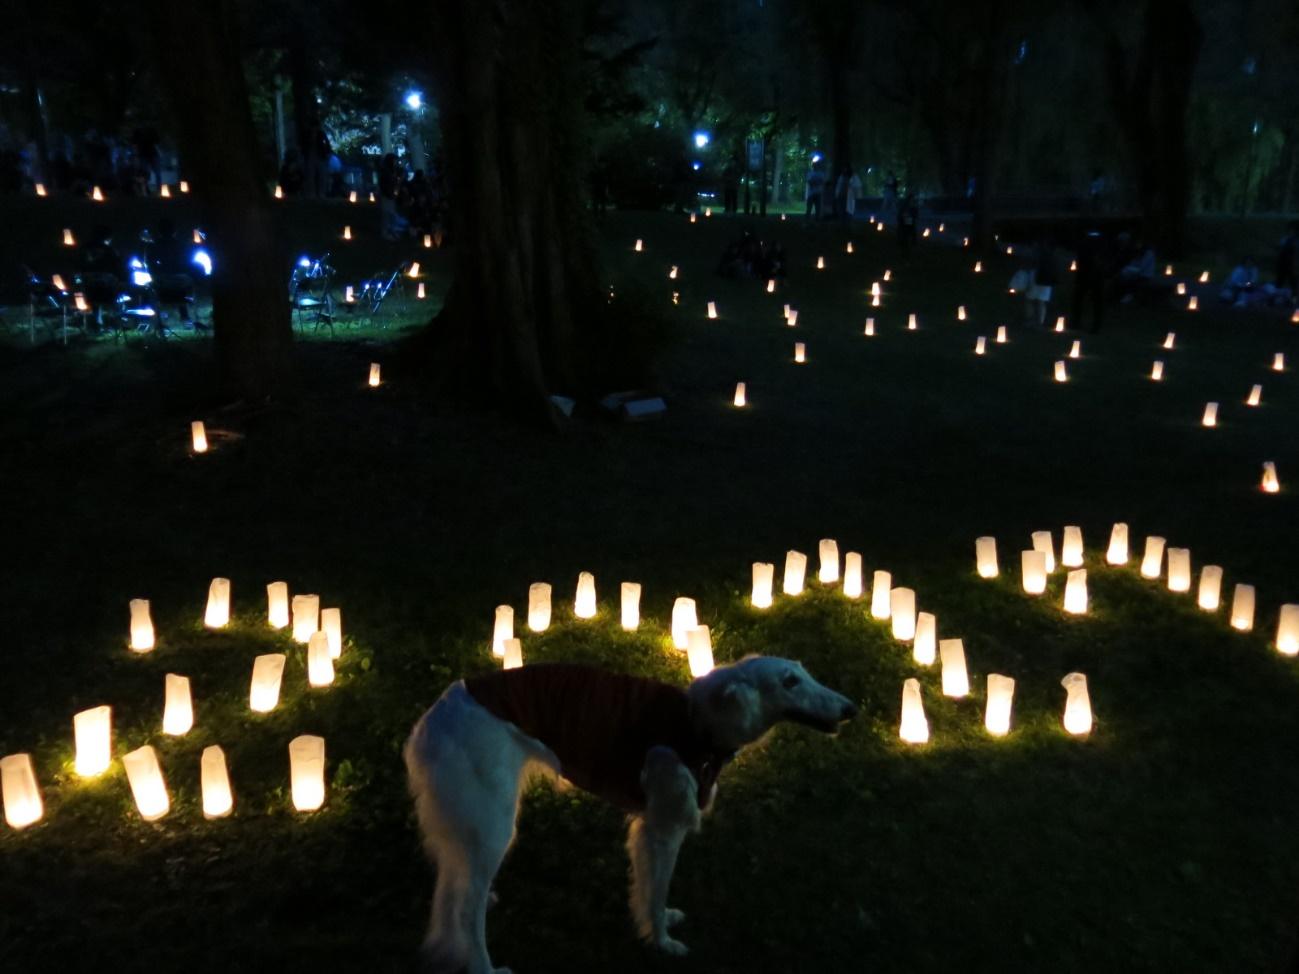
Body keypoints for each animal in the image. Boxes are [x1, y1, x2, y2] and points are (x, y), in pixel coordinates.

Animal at [400, 659, 857, 971]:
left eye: (804, 672)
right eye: (790, 681)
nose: (851, 708)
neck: (699, 721)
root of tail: (432, 718)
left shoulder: (647, 826)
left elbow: (648, 889)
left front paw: (659, 927)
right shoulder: (662, 828)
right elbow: (655, 891)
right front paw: (662, 941)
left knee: (457, 885)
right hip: (493, 824)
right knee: (465, 908)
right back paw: (484, 966)